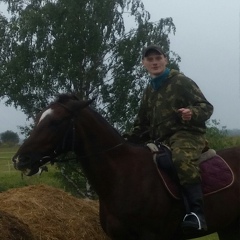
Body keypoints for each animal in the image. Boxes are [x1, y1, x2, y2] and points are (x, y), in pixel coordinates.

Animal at [11, 94, 240, 240]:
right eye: (38, 119)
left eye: (56, 122)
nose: (20, 159)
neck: (122, 175)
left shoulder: (150, 236)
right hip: (229, 227)